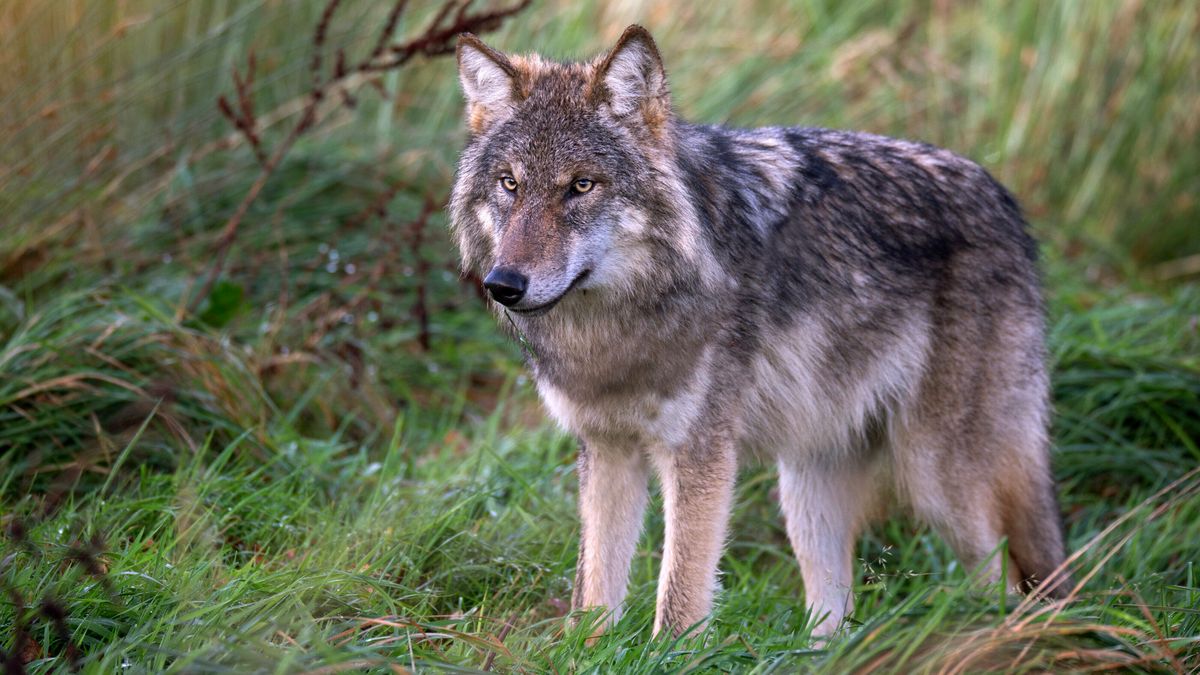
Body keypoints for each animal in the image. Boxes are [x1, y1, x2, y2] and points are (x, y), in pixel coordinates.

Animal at [448, 25, 1069, 638]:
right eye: (509, 184)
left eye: (581, 186)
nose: (503, 284)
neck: (613, 330)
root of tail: (1003, 198)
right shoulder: (606, 449)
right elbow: (595, 593)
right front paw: (589, 650)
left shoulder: (701, 453)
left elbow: (679, 598)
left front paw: (668, 653)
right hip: (807, 486)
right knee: (835, 616)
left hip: (934, 477)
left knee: (1006, 582)